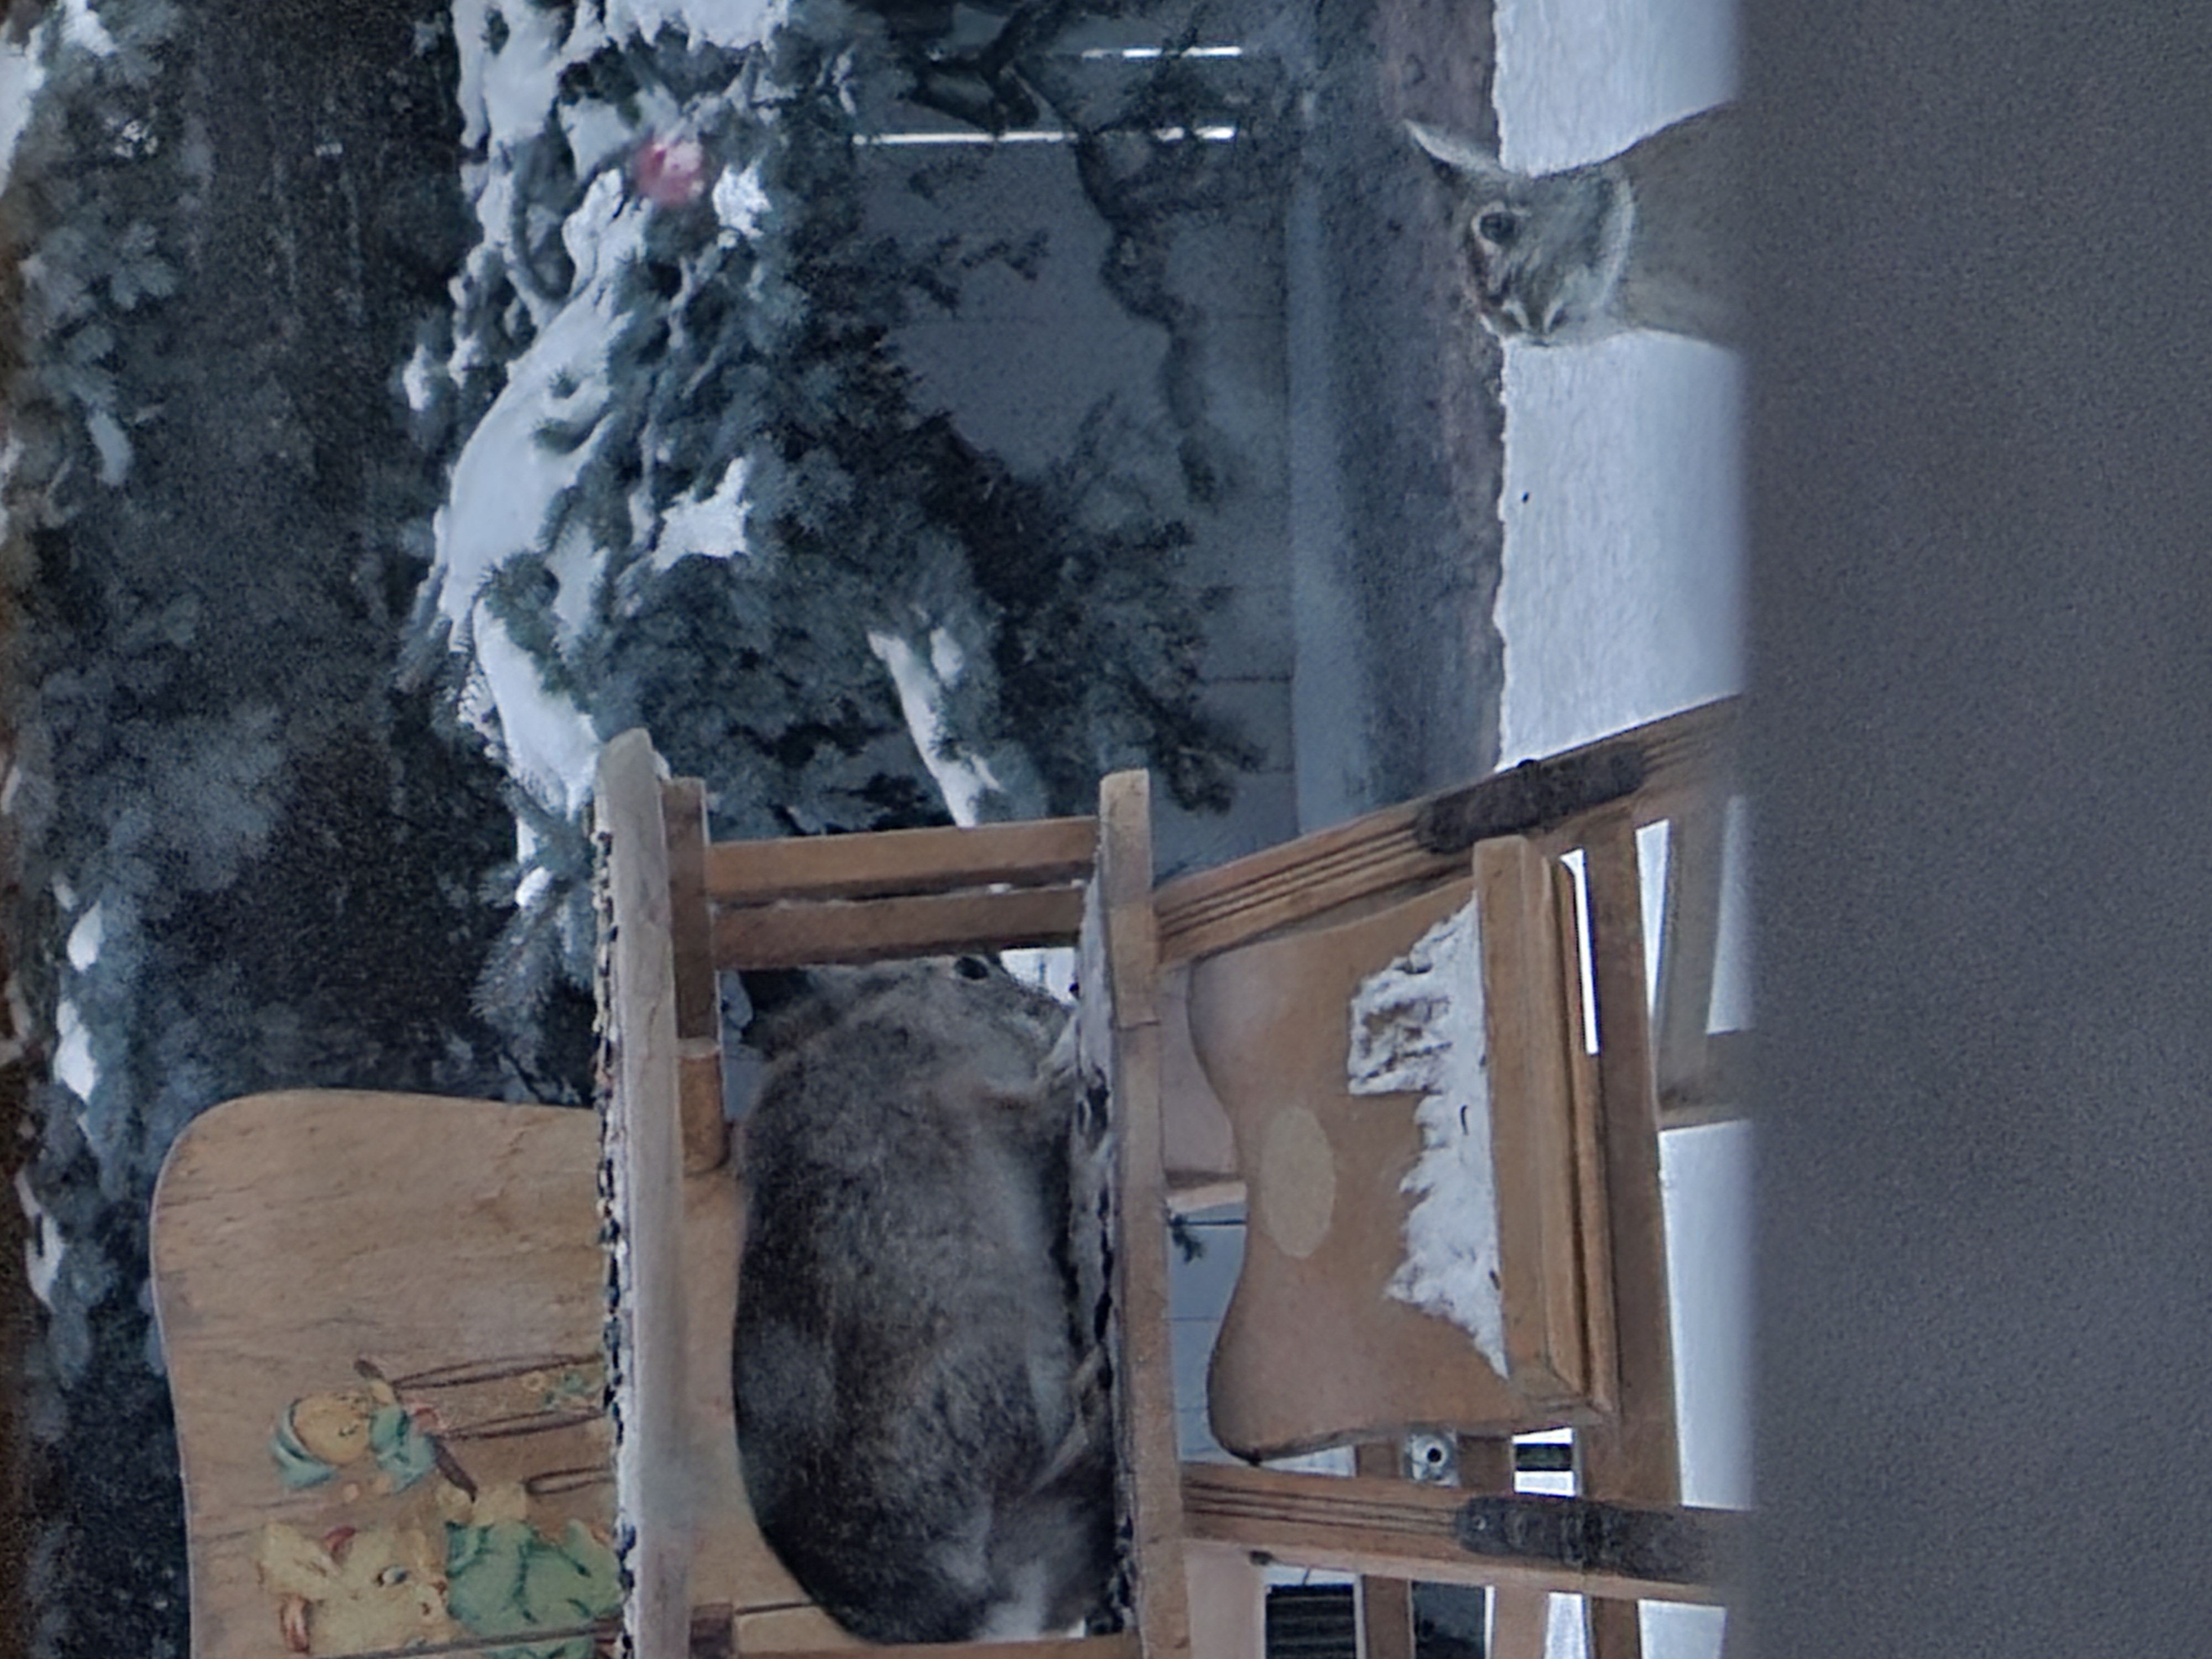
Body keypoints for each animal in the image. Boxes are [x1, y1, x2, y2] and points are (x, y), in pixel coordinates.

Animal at [731, 955, 1117, 1644]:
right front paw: (1072, 1058)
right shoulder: (993, 1106)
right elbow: (1038, 1107)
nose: (1059, 1011)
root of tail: (967, 1613)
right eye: (972, 969)